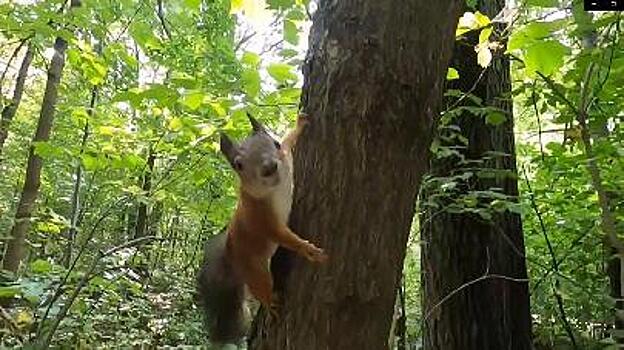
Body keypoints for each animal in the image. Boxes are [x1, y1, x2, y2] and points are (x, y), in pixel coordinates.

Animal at [197, 112, 330, 344]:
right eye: (238, 165)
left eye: (274, 144)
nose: (269, 168)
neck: (277, 187)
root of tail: (231, 256)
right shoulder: (261, 218)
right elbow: (283, 237)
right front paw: (308, 249)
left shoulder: (286, 156)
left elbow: (289, 141)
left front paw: (299, 124)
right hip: (255, 271)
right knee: (260, 289)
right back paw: (270, 303)